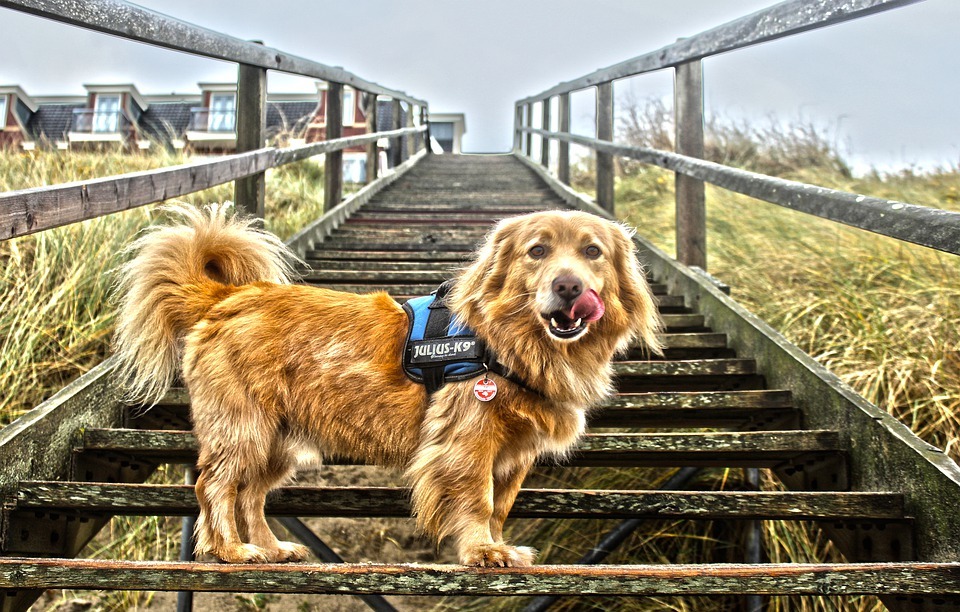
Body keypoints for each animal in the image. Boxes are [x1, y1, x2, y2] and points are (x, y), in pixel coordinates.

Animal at [112, 203, 664, 568]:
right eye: (538, 251)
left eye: (592, 252)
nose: (569, 286)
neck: (512, 340)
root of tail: (227, 297)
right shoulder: (466, 443)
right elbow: (478, 501)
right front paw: (482, 551)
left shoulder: (515, 455)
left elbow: (501, 506)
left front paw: (498, 543)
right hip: (243, 429)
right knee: (216, 487)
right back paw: (231, 549)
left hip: (278, 442)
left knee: (251, 496)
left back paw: (271, 547)